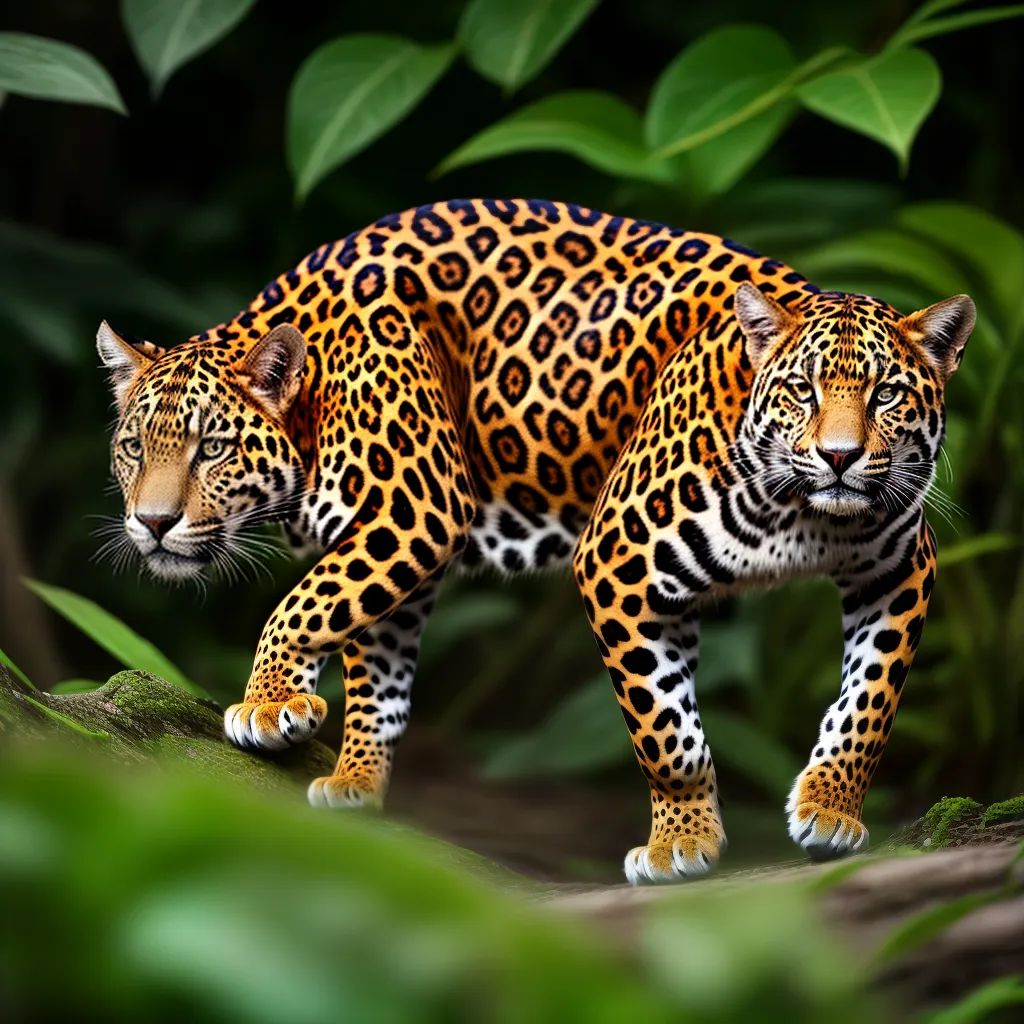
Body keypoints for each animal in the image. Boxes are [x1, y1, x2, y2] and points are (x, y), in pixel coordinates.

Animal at [98, 198, 974, 883]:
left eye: (212, 449)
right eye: (136, 448)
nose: (153, 522)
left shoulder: (898, 568)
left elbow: (862, 703)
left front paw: (807, 814)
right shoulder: (439, 545)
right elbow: (377, 665)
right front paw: (350, 773)